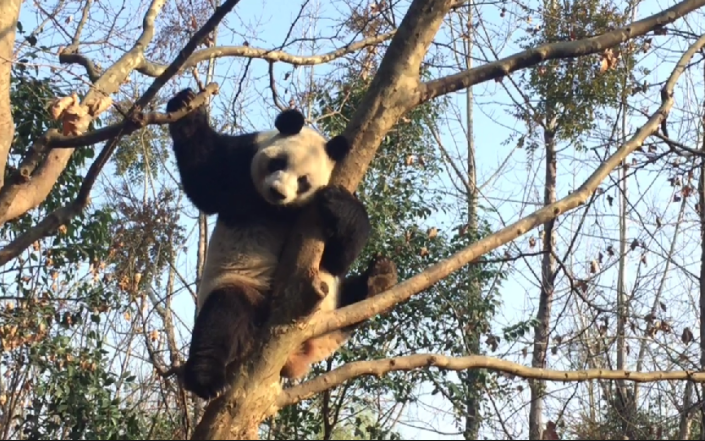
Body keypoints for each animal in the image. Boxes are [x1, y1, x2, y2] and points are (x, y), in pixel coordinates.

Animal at [165, 87, 396, 398]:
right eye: (278, 163)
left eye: (303, 181)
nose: (278, 192)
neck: (278, 210)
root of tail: (297, 357)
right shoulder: (243, 162)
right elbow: (207, 180)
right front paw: (185, 104)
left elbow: (337, 258)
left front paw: (340, 205)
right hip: (245, 287)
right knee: (225, 314)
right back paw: (205, 379)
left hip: (331, 309)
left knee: (353, 299)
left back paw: (380, 278)